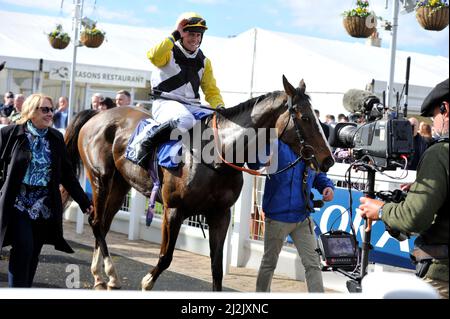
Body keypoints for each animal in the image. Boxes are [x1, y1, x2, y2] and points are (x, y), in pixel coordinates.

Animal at [65, 76, 336, 292]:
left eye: (318, 118)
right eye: (304, 117)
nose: (328, 159)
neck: (217, 153)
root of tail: (98, 114)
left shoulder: (220, 214)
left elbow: (216, 267)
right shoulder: (173, 210)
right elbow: (165, 256)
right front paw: (146, 282)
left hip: (121, 184)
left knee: (104, 222)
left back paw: (104, 274)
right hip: (100, 177)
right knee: (96, 220)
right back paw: (106, 273)